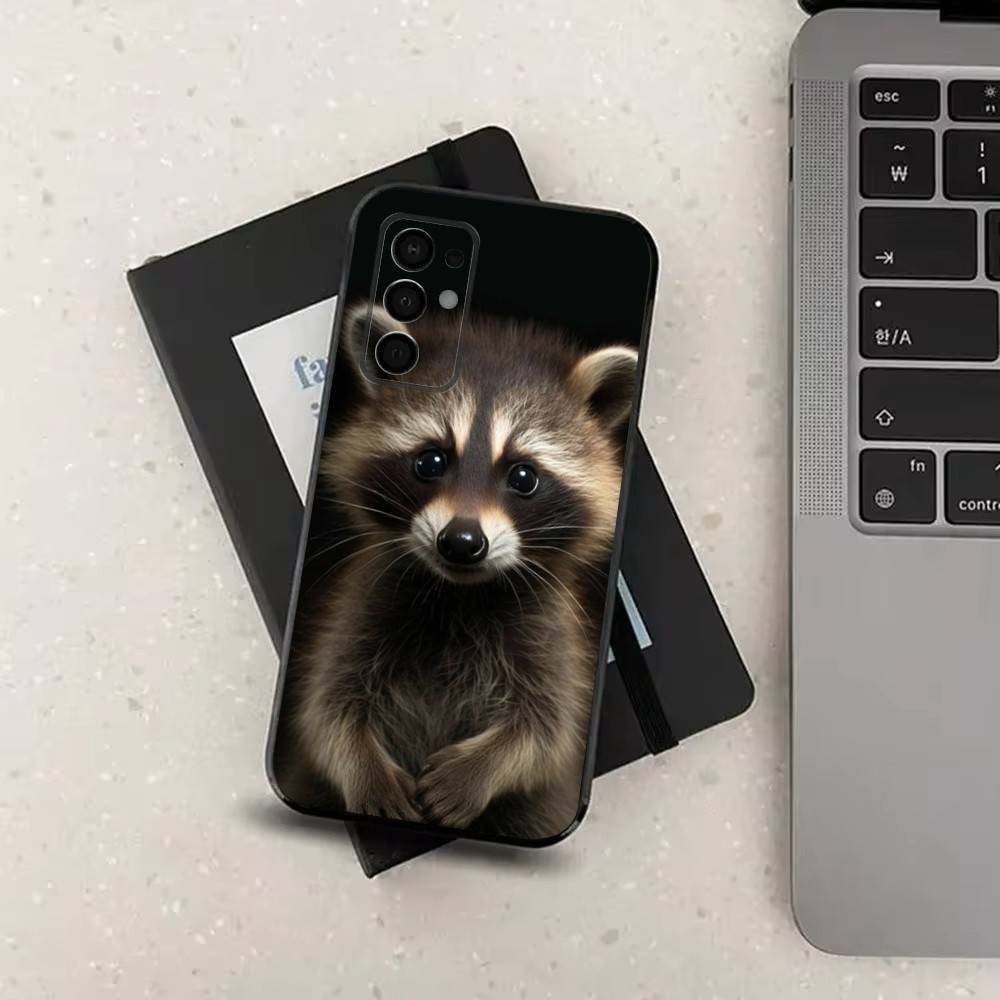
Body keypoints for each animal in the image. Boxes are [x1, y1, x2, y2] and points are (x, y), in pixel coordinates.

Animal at [285, 302, 638, 839]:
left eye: (523, 476)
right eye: (431, 461)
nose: (462, 542)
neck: (460, 594)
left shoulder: (551, 635)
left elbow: (545, 732)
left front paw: (479, 770)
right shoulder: (365, 607)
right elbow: (327, 713)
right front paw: (366, 773)